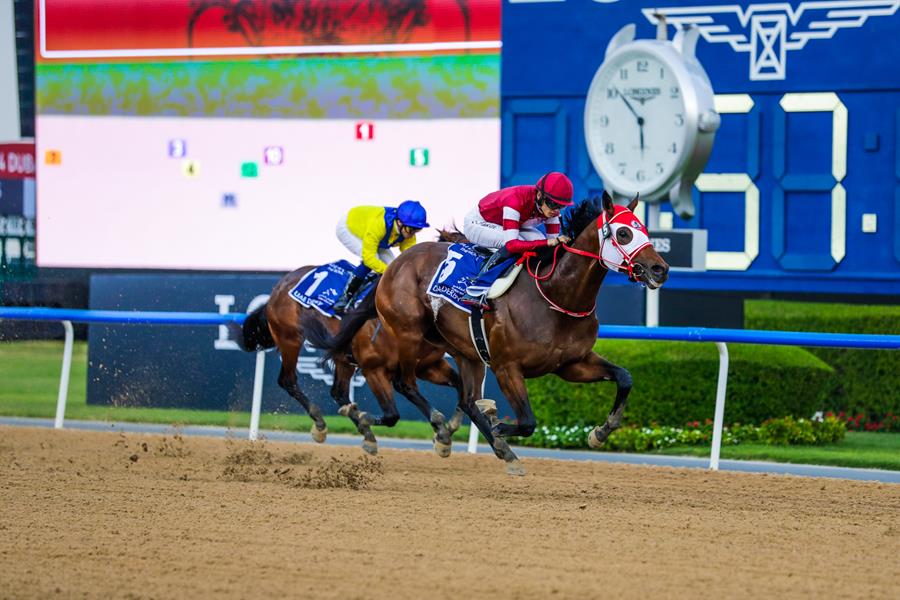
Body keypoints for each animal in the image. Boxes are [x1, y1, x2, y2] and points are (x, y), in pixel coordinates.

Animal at [316, 192, 668, 474]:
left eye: (644, 230)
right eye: (623, 233)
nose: (659, 269)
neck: (555, 296)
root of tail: (394, 265)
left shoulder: (572, 364)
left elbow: (624, 378)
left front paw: (601, 432)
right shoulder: (506, 366)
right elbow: (527, 421)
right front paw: (499, 426)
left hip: (464, 350)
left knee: (467, 399)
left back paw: (489, 445)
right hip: (408, 333)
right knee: (405, 383)